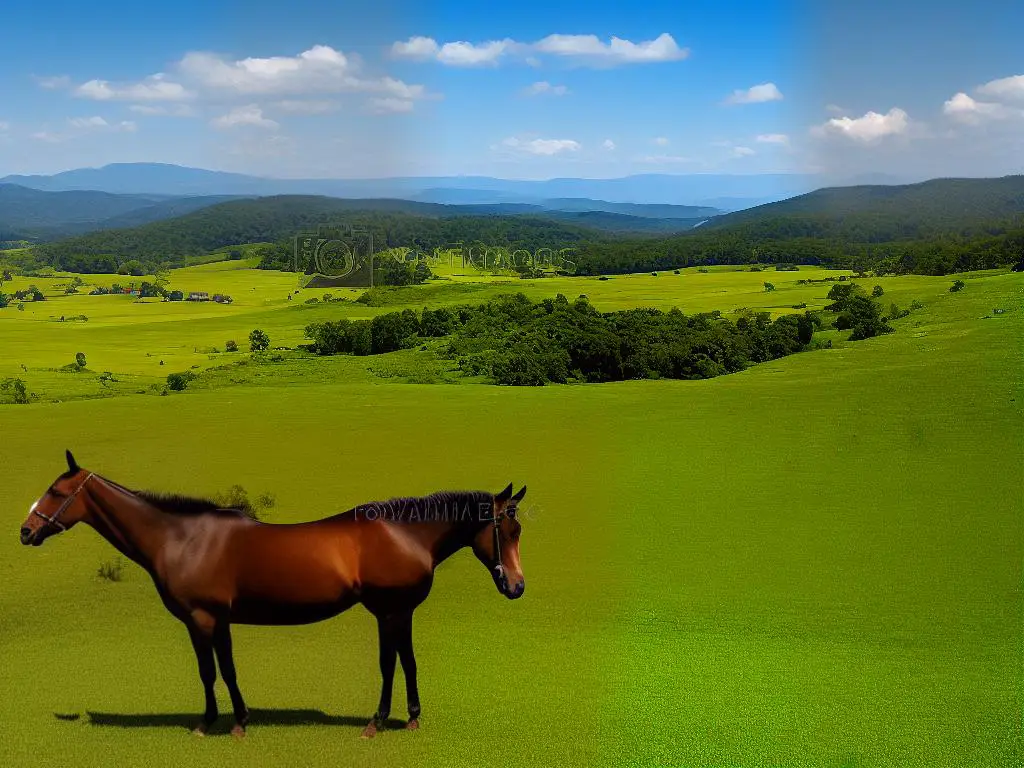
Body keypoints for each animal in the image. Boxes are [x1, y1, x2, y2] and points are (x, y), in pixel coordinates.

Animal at [17, 450, 528, 741]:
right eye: (508, 529)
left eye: (55, 491)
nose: (25, 531)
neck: (180, 538)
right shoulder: (216, 619)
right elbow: (222, 669)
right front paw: (231, 719)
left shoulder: (203, 618)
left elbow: (213, 671)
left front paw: (218, 723)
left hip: (392, 612)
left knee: (396, 663)